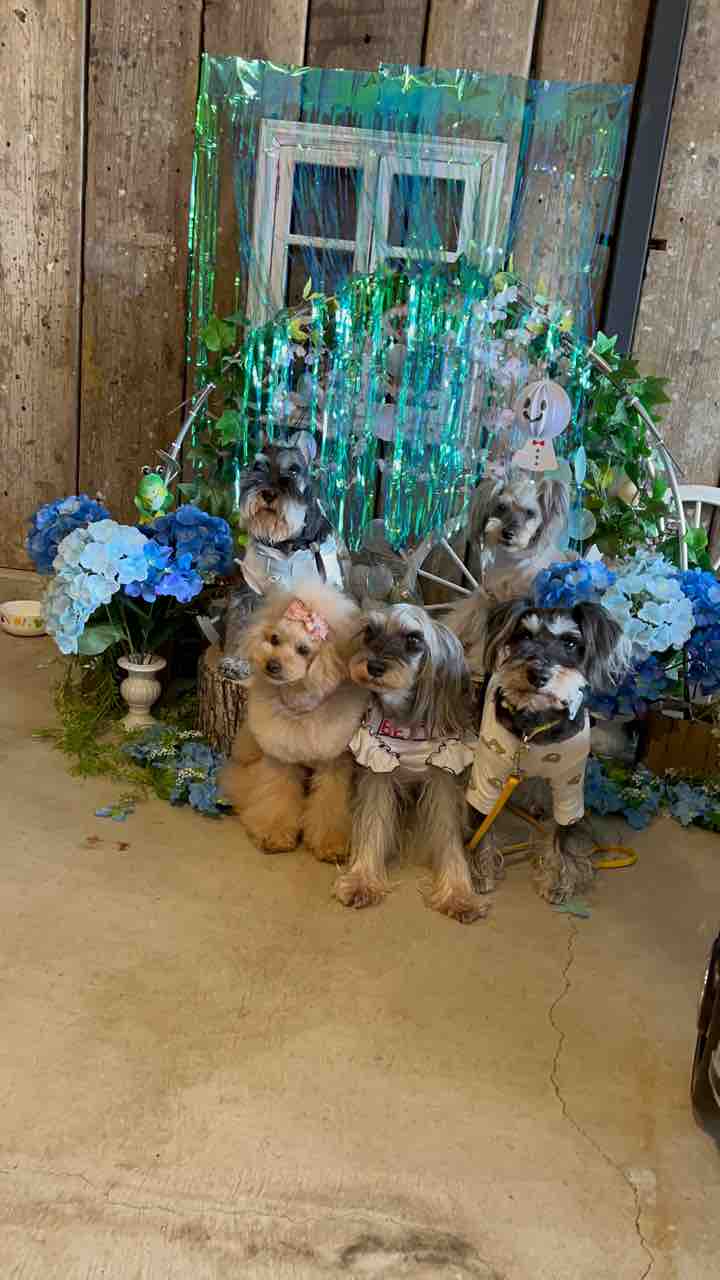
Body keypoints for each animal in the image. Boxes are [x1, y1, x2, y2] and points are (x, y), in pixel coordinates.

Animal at [220, 432, 343, 677]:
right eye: (258, 467)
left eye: (294, 470)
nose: (268, 493)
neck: (288, 543)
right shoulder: (250, 591)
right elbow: (242, 625)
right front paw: (236, 662)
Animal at [221, 579, 366, 862]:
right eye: (274, 638)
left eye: (303, 650)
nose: (272, 665)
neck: (300, 705)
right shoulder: (280, 758)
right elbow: (277, 797)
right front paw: (274, 835)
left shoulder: (335, 764)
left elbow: (330, 804)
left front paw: (331, 844)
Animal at [333, 605, 488, 925]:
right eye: (370, 631)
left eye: (414, 639)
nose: (373, 666)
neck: (405, 719)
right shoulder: (378, 767)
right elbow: (372, 824)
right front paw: (361, 881)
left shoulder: (443, 776)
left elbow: (449, 836)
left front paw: (459, 895)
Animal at [465, 597, 630, 905]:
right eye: (524, 636)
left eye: (570, 642)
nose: (537, 674)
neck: (533, 728)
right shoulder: (486, 779)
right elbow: (481, 826)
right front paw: (479, 873)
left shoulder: (569, 787)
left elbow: (563, 837)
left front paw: (559, 882)